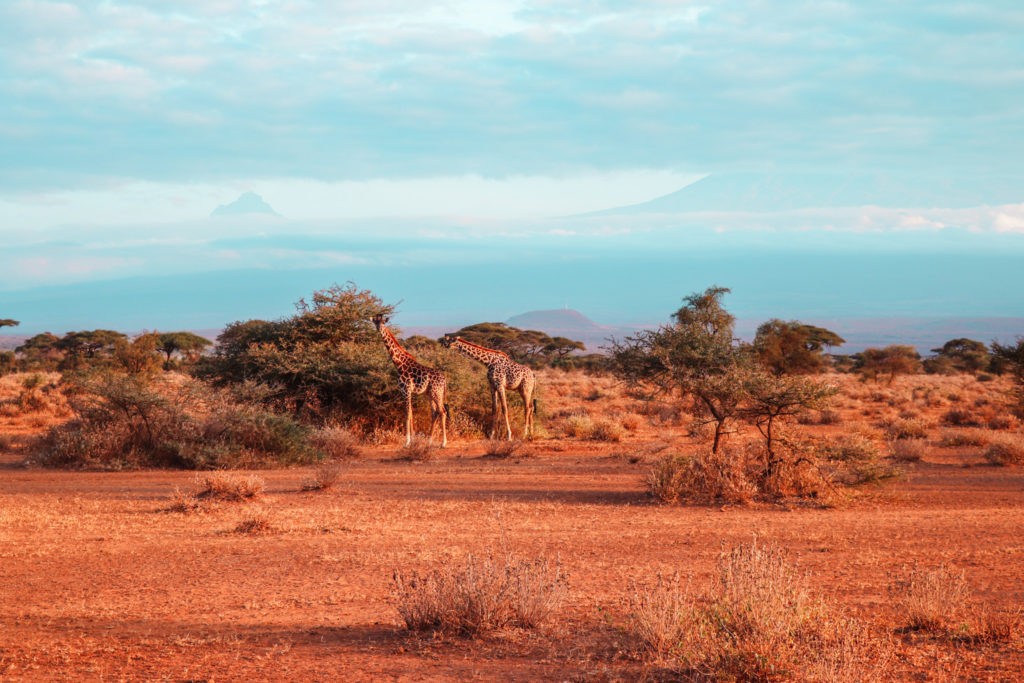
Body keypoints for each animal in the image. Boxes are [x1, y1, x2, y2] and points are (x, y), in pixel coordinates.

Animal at [370, 313, 446, 448]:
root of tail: (444, 379)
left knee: (442, 412)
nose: (379, 328)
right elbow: (410, 413)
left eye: (383, 322)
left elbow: (407, 413)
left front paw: (407, 442)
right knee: (435, 413)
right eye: (375, 322)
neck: (399, 364)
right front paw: (413, 440)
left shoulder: (406, 390)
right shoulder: (406, 392)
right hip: (431, 393)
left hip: (436, 393)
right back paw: (429, 441)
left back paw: (443, 443)